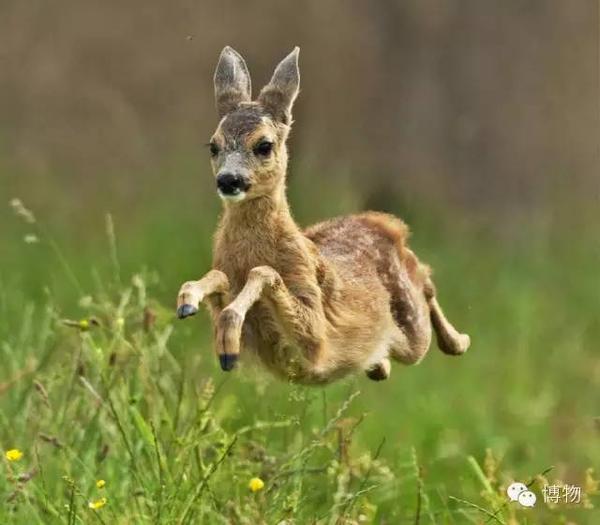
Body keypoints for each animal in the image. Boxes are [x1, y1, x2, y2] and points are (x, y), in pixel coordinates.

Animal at [176, 47, 472, 382]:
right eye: (213, 146)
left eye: (264, 145)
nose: (229, 180)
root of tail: (383, 224)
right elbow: (218, 276)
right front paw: (188, 304)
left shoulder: (317, 331)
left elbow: (265, 274)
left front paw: (228, 344)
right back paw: (382, 365)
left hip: (413, 329)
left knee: (425, 283)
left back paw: (459, 341)